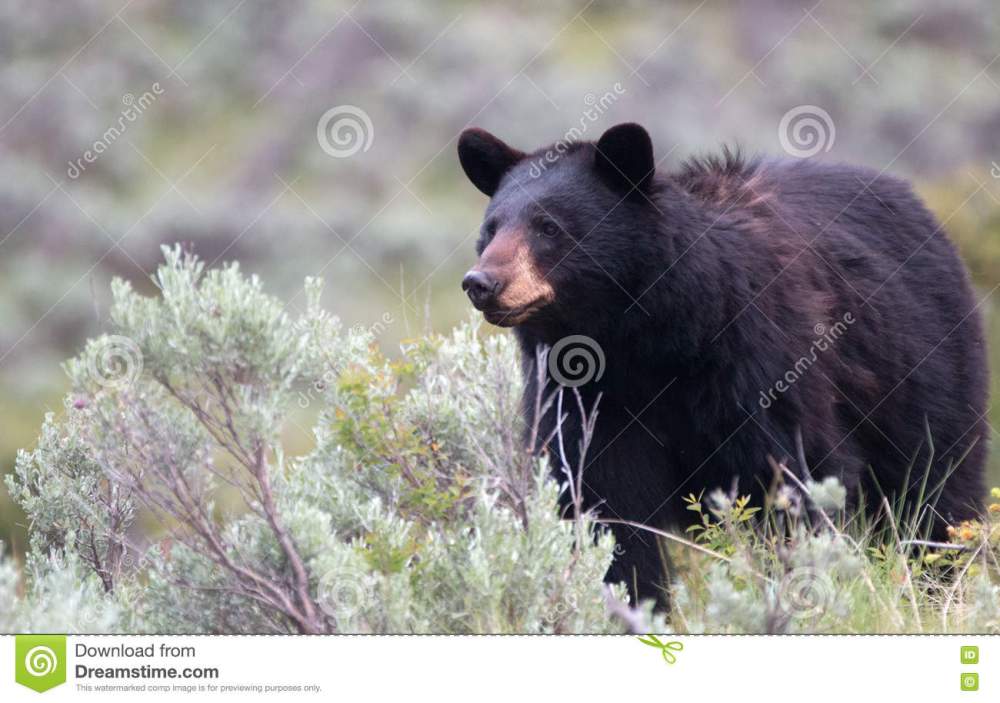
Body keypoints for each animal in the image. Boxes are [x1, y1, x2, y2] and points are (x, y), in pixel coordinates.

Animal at [457, 122, 989, 608]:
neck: (641, 339)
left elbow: (792, 475)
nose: (482, 282)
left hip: (926, 366)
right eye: (491, 228)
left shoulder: (758, 358)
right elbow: (603, 504)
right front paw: (633, 602)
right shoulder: (584, 395)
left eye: (549, 227)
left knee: (936, 484)